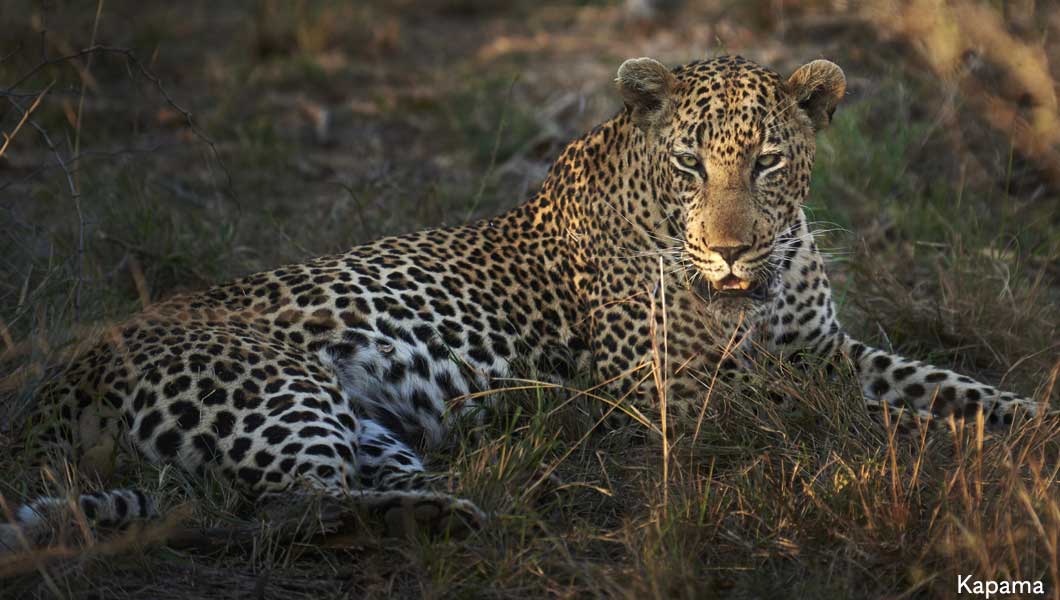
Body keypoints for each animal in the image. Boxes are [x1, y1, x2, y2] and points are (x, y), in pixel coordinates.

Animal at [4, 56, 1038, 551]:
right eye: (691, 163)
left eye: (768, 162)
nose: (730, 247)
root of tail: (58, 377)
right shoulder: (662, 388)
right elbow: (828, 415)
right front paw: (931, 450)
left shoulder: (821, 347)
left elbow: (941, 381)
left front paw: (1026, 420)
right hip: (275, 387)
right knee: (283, 510)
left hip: (359, 422)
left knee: (309, 493)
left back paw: (459, 502)